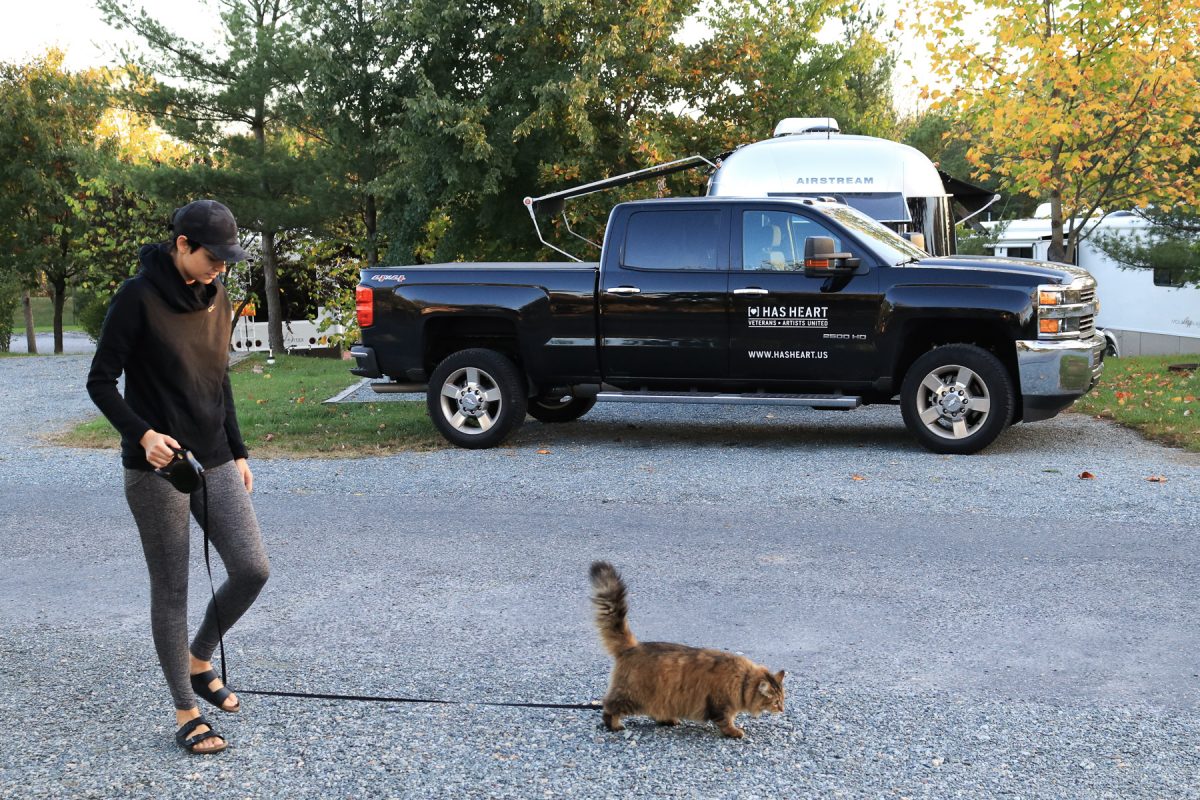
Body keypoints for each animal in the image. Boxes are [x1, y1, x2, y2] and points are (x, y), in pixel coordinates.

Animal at [590, 563, 787, 738]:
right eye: (776, 702)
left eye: (783, 699)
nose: (783, 709)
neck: (743, 681)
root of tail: (633, 646)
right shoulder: (721, 704)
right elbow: (726, 721)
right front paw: (734, 732)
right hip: (631, 695)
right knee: (609, 706)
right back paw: (614, 725)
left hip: (658, 697)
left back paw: (668, 720)